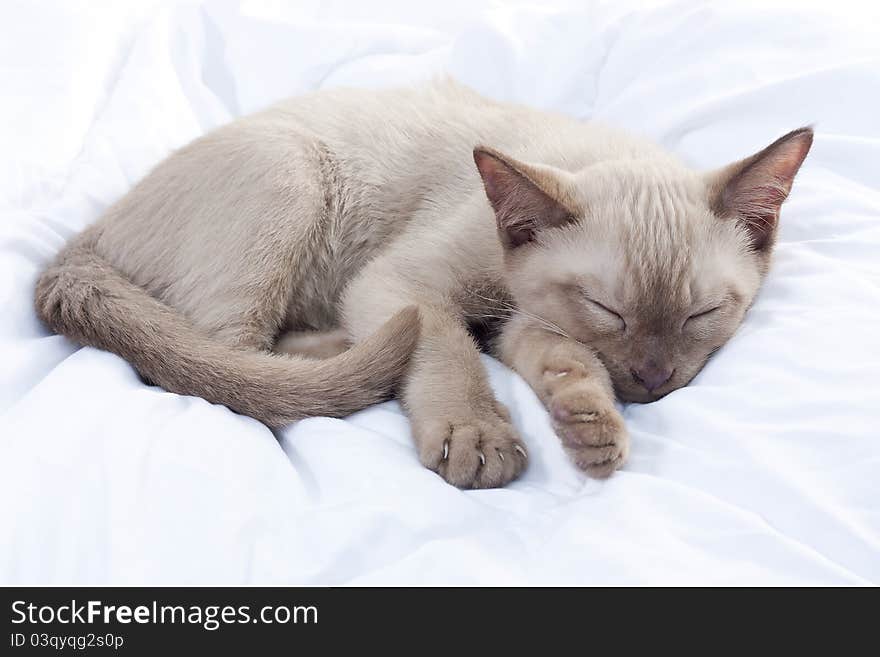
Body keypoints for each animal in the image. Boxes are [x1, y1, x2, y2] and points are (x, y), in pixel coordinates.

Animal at [37, 78, 816, 486]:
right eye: (609, 308)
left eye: (702, 314)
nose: (653, 381)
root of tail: (86, 233)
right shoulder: (406, 283)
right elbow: (444, 342)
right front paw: (478, 437)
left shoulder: (519, 322)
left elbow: (562, 360)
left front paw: (590, 426)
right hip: (291, 172)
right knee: (224, 364)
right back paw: (342, 350)